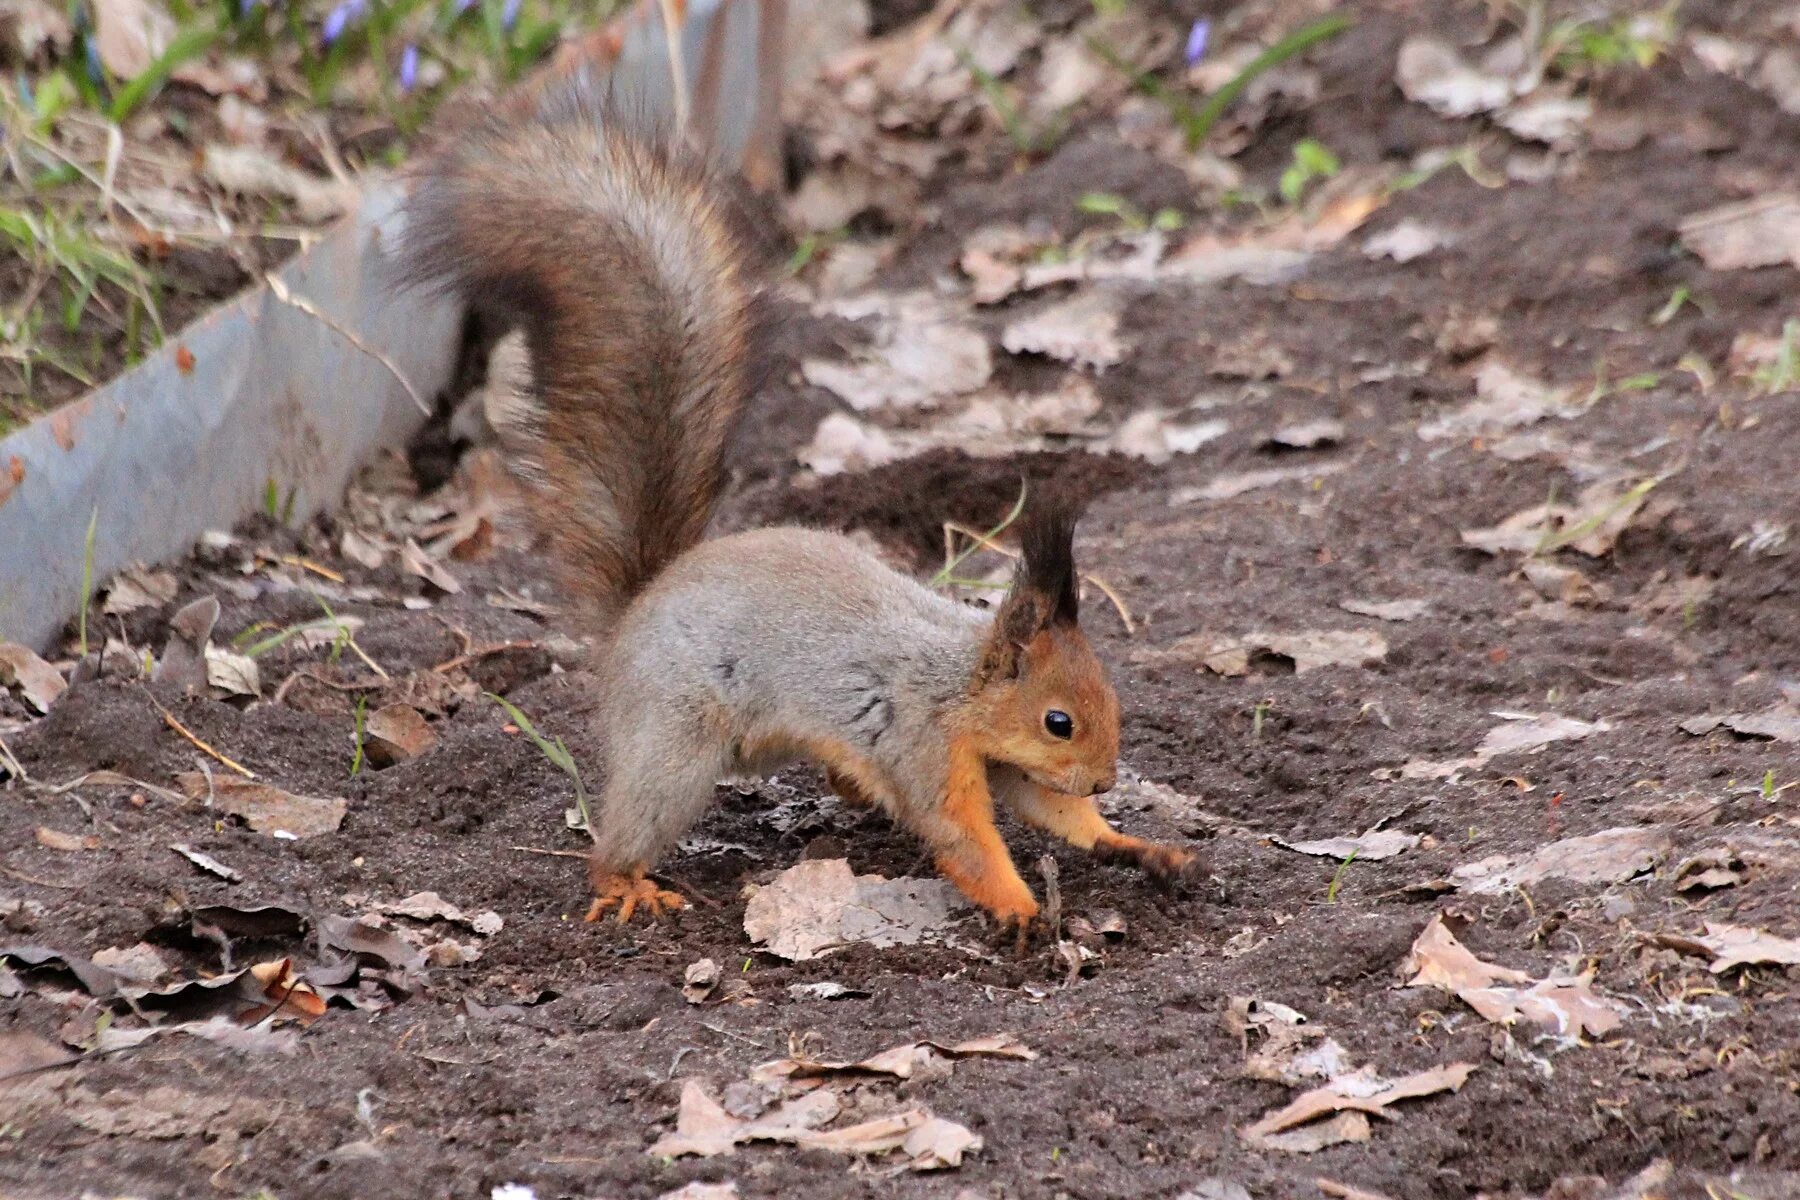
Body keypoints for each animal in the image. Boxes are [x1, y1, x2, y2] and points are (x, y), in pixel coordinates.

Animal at [401, 84, 1202, 935]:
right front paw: (1020, 908)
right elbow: (962, 837)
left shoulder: (999, 761)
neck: (960, 689)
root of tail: (637, 610)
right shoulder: (923, 742)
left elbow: (1053, 813)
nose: (1106, 779)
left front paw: (1135, 844)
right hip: (676, 741)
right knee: (630, 825)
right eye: (1059, 721)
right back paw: (625, 883)